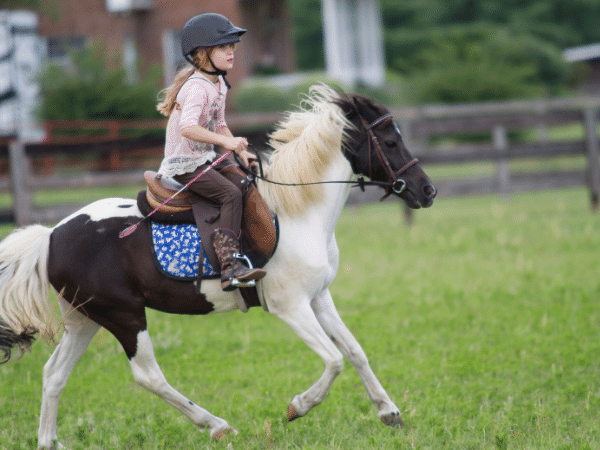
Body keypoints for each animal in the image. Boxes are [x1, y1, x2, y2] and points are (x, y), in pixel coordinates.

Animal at [0, 84, 434, 446]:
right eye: (391, 141)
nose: (427, 191)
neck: (298, 214)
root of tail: (52, 235)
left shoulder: (318, 297)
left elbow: (355, 351)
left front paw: (389, 412)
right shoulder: (290, 306)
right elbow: (334, 359)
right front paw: (298, 406)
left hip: (85, 318)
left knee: (54, 375)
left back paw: (49, 442)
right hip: (124, 315)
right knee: (148, 376)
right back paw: (217, 425)